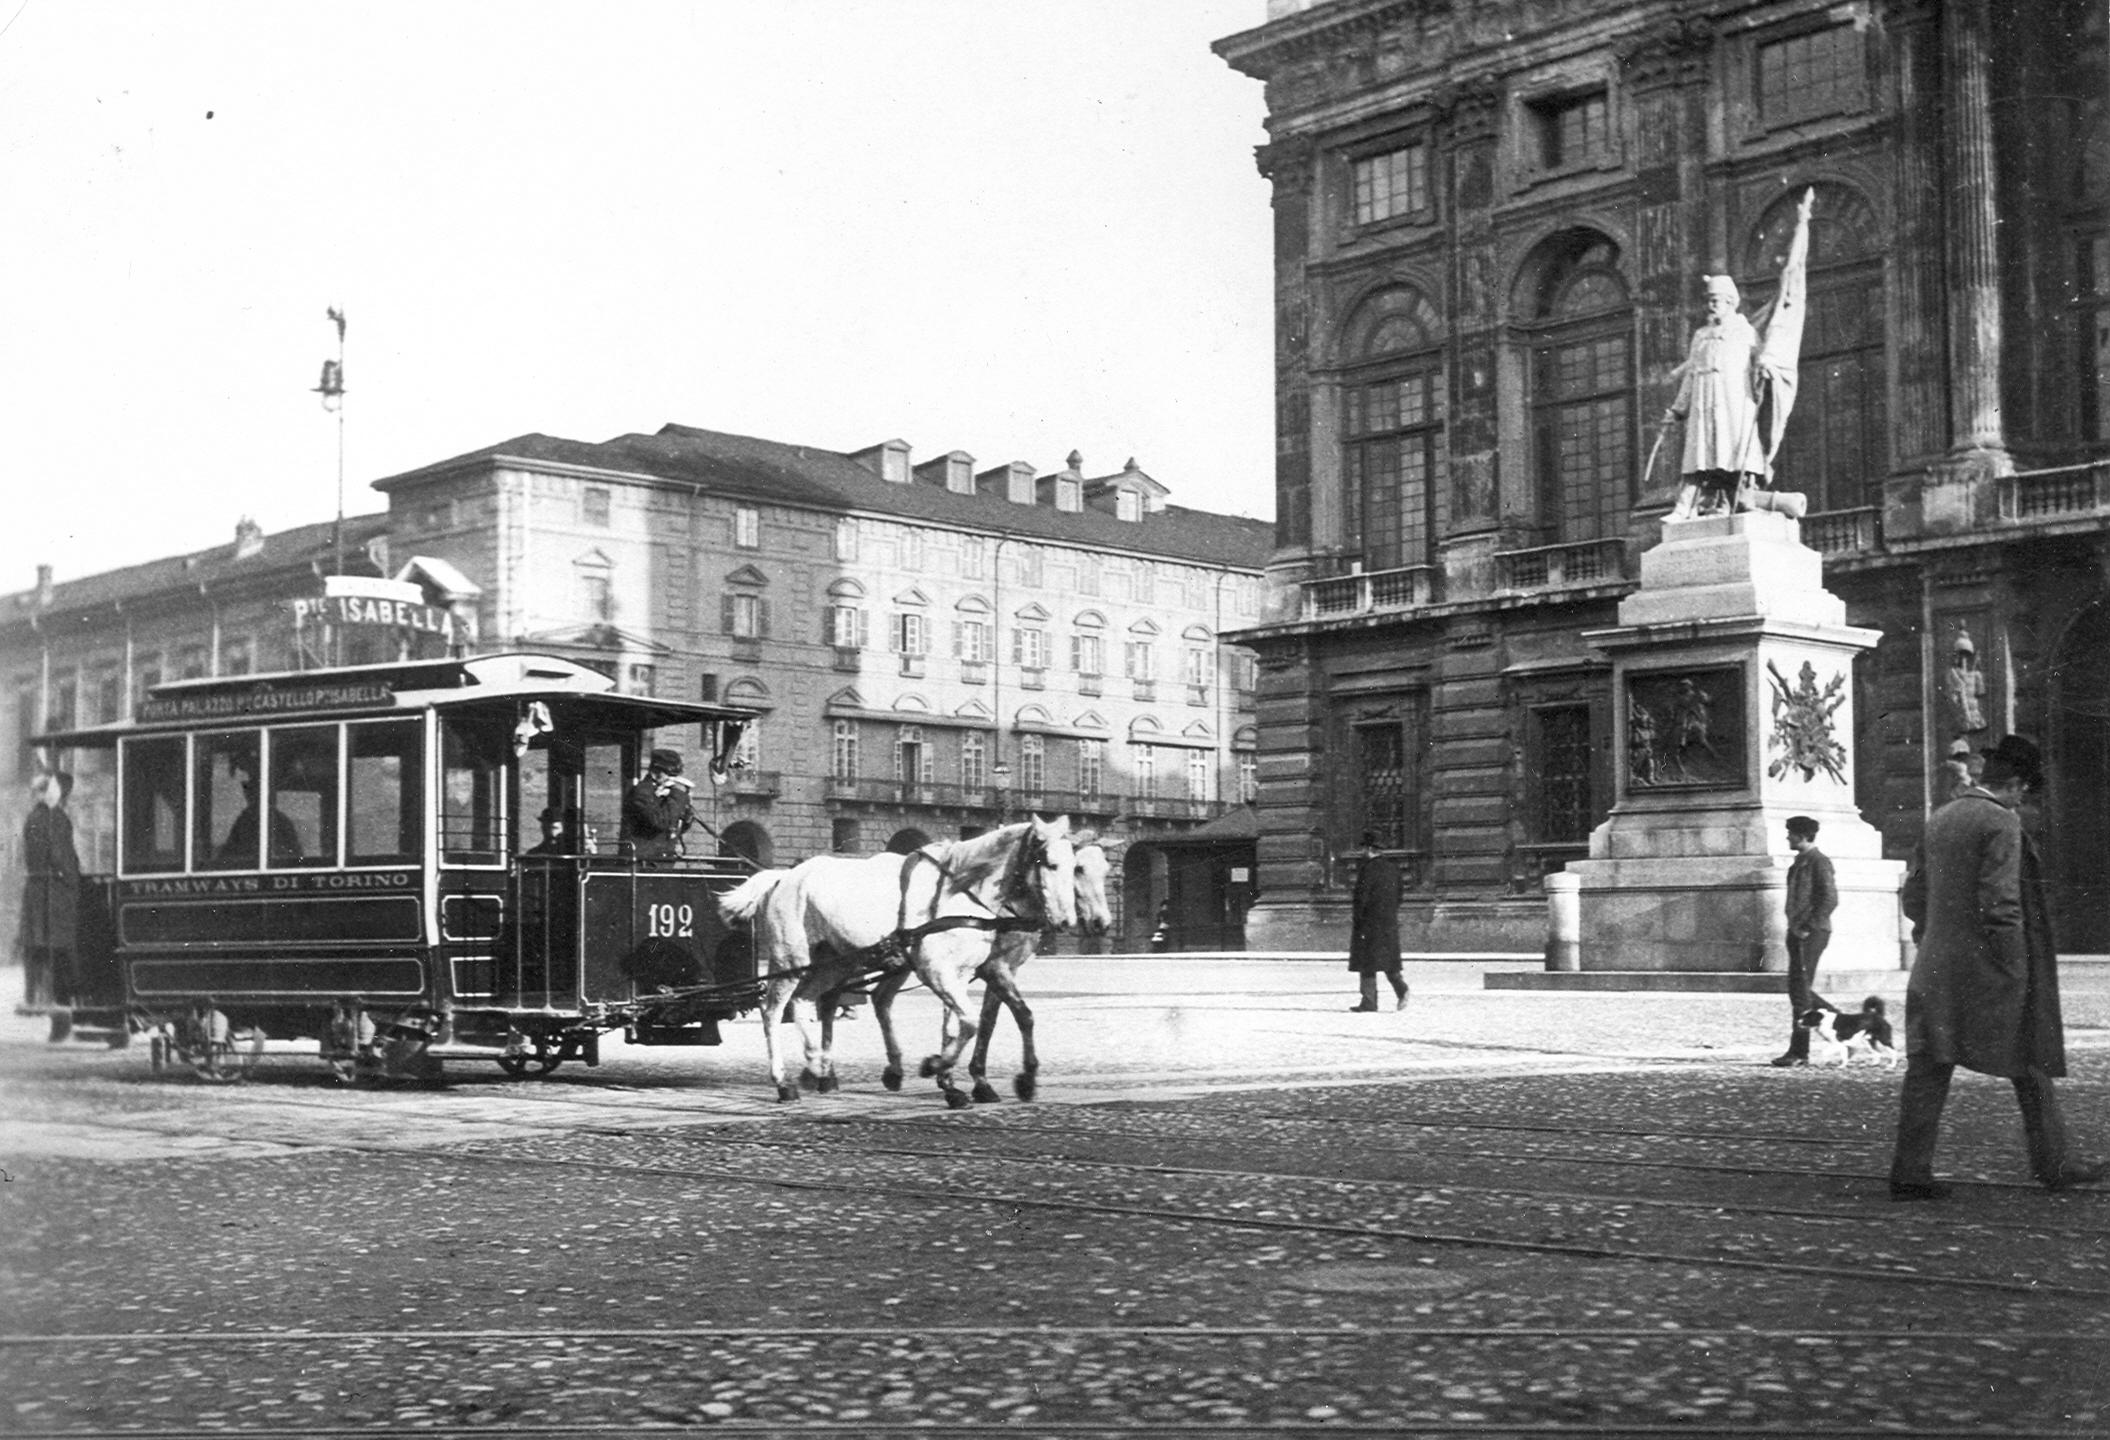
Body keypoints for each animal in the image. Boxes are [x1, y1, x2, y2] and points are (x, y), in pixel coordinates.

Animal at [717, 815, 1080, 1106]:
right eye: (1049, 863)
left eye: (1075, 866)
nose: (1067, 922)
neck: (959, 893)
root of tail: (783, 876)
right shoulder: (943, 971)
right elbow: (972, 1022)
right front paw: (939, 1067)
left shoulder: (969, 973)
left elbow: (980, 1022)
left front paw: (958, 1081)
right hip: (790, 959)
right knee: (773, 1011)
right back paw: (784, 1082)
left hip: (834, 962)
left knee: (809, 1002)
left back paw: (817, 1066)